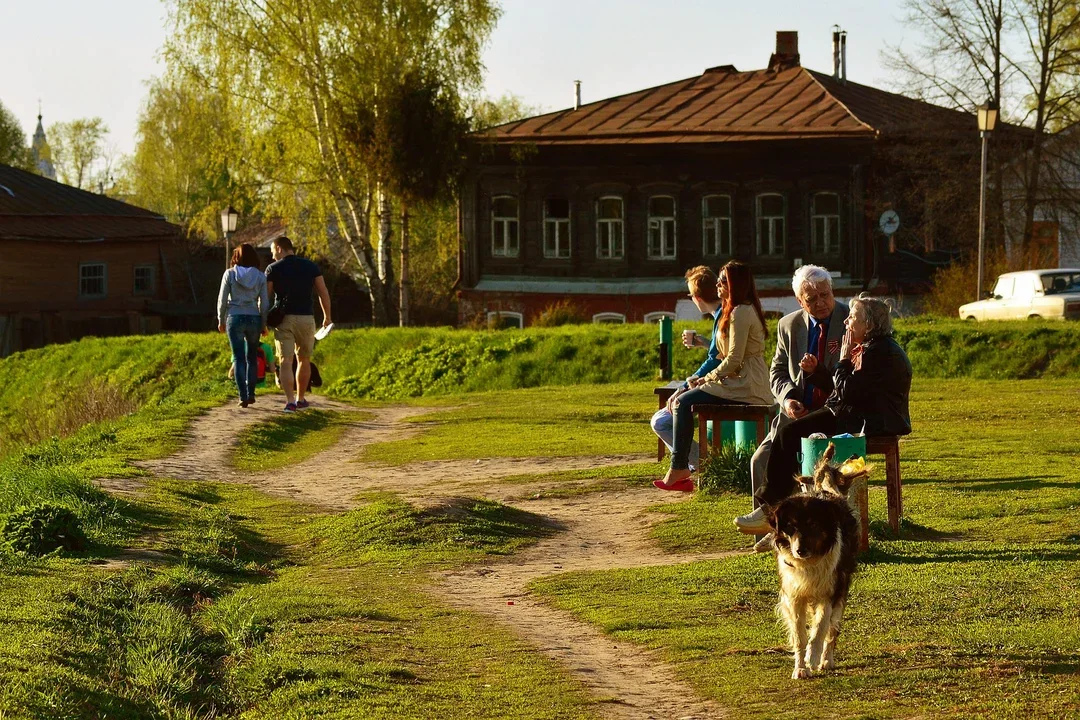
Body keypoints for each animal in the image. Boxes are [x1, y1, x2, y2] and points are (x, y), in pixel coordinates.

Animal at [768, 459, 859, 677]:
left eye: (813, 525)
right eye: (790, 526)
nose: (800, 550)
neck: (809, 562)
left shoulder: (830, 592)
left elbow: (819, 629)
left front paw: (813, 658)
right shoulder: (794, 595)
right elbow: (799, 636)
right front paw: (800, 668)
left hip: (841, 589)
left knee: (832, 629)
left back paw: (827, 660)